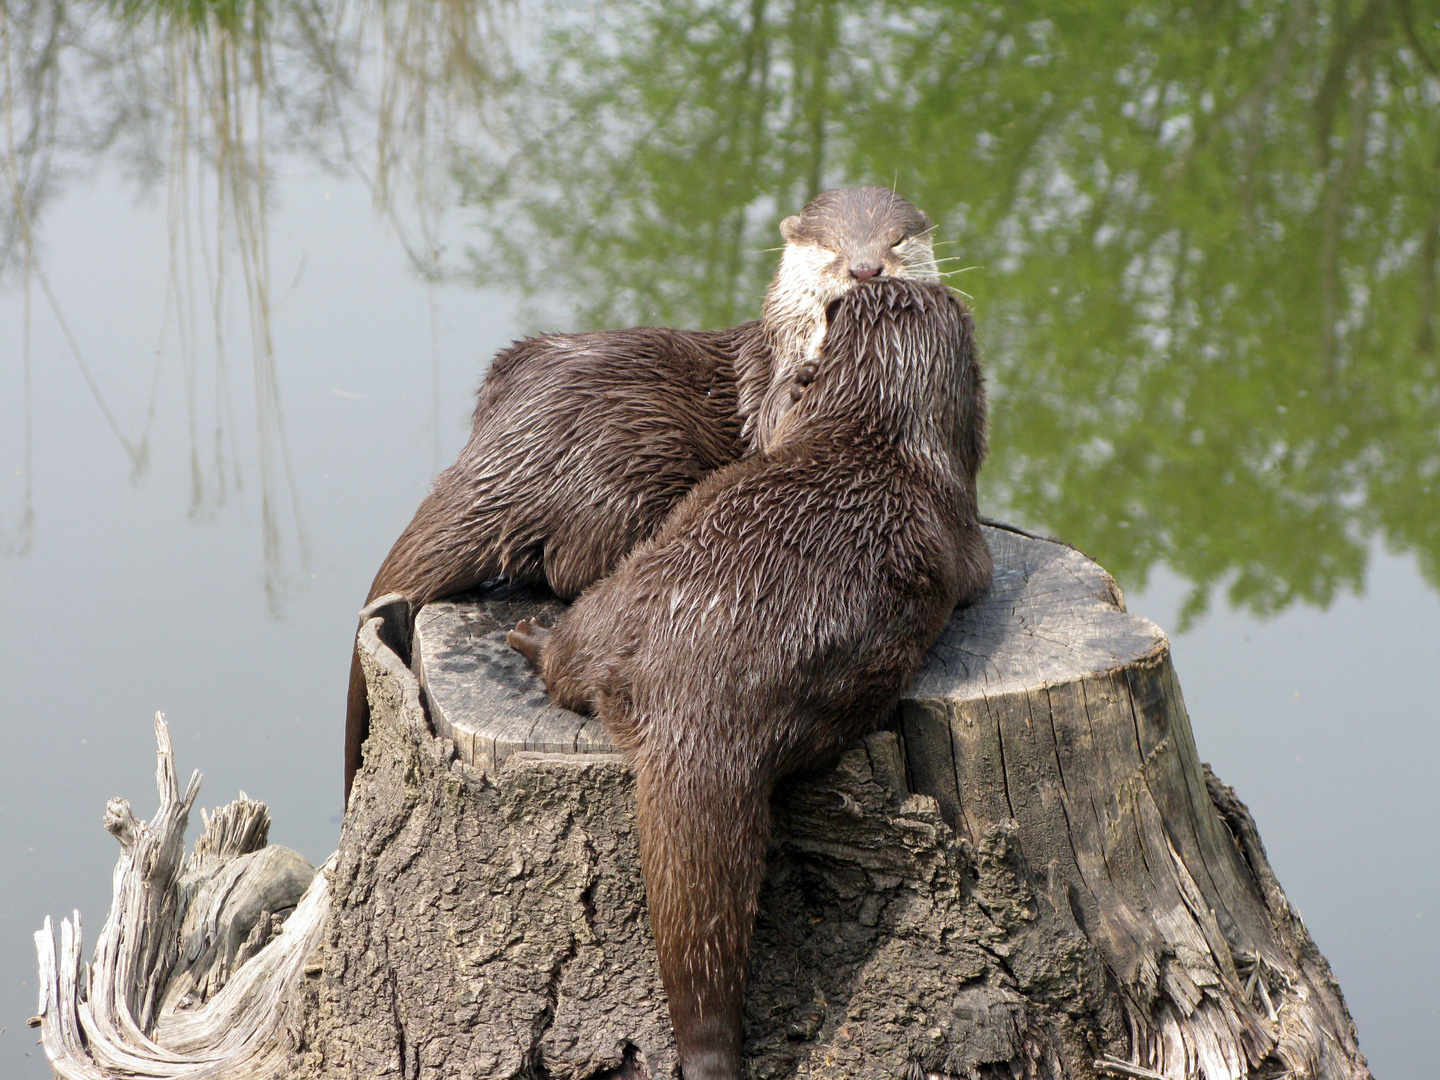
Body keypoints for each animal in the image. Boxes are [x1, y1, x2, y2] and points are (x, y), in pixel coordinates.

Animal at [348, 185, 944, 806]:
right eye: (830, 246)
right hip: (637, 460)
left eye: (896, 239)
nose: (866, 268)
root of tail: (513, 450)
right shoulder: (773, 394)